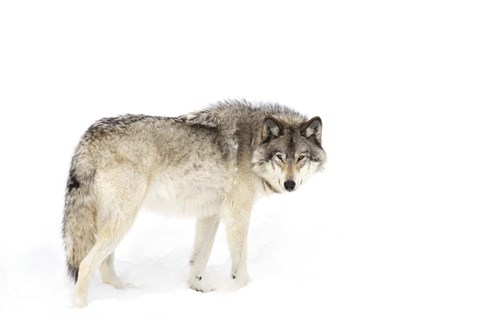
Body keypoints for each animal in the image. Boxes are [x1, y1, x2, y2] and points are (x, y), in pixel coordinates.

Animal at [62, 100, 326, 308]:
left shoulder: (211, 214)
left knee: (104, 265)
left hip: (112, 222)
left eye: (301, 158)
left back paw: (123, 291)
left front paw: (197, 289)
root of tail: (88, 135)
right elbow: (239, 266)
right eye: (279, 157)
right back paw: (81, 308)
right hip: (123, 219)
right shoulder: (237, 215)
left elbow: (198, 259)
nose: (290, 184)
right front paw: (245, 292)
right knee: (86, 264)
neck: (252, 144)